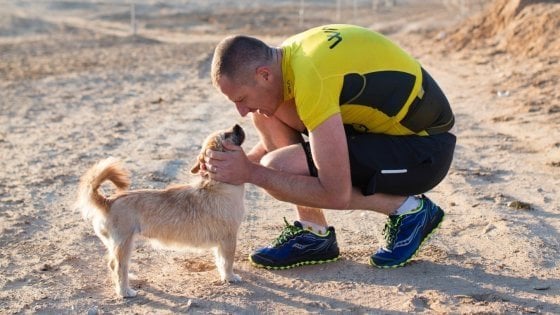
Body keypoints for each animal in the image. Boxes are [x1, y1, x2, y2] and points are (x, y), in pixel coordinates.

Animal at [76, 124, 245, 298]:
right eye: (227, 135)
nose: (237, 125)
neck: (216, 184)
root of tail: (108, 201)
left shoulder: (221, 242)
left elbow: (220, 260)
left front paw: (225, 276)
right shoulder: (228, 239)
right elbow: (227, 261)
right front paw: (230, 277)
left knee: (112, 264)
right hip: (124, 244)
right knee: (119, 267)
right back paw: (125, 291)